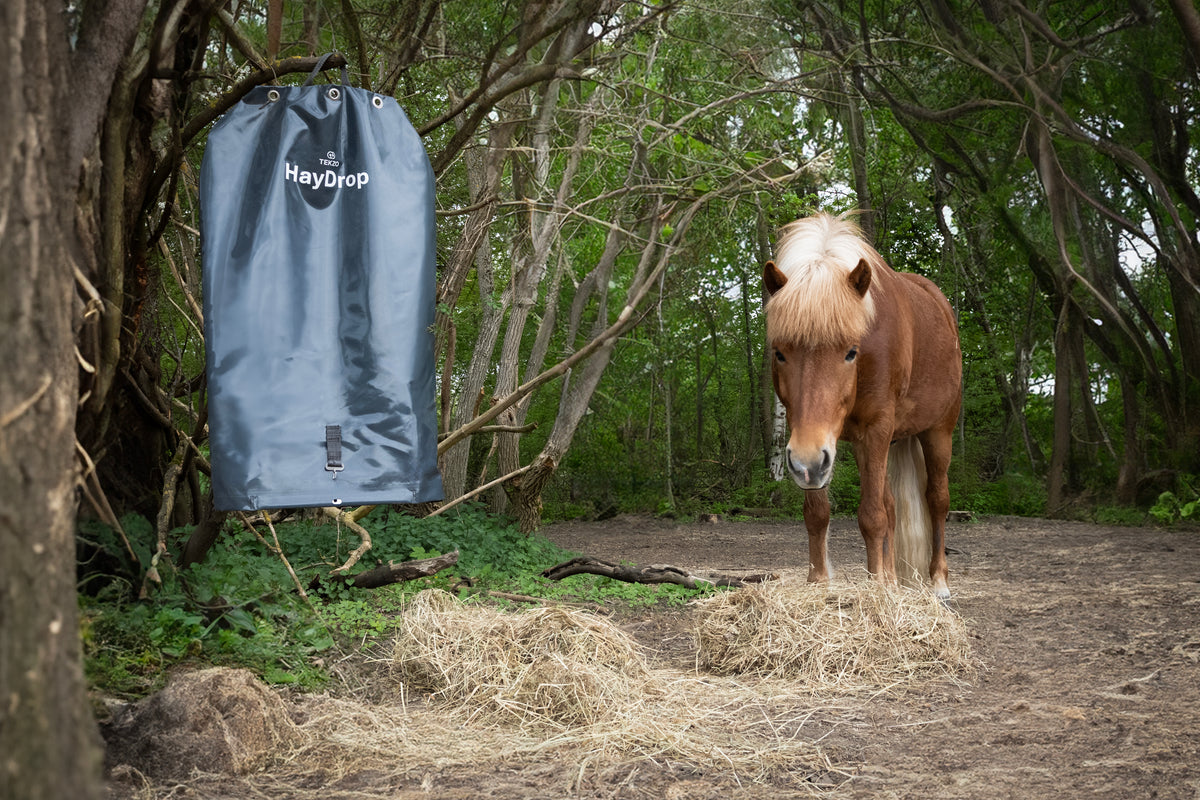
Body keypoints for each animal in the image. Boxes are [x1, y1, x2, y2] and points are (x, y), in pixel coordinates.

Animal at [763, 212, 962, 598]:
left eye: (850, 351)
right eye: (780, 352)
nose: (808, 464)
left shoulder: (875, 430)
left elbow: (872, 516)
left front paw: (875, 590)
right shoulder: (820, 440)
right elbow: (819, 513)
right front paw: (820, 581)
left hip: (937, 433)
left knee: (936, 501)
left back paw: (938, 582)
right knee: (892, 505)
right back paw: (893, 579)